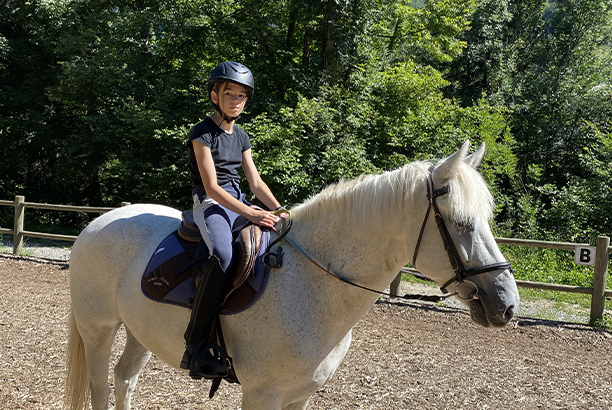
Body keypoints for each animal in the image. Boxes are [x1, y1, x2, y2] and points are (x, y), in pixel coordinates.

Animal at [64, 139, 520, 408]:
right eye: (461, 223)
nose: (508, 304)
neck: (312, 284)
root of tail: (97, 222)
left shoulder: (299, 394)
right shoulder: (261, 393)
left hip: (141, 331)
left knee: (124, 380)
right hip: (98, 328)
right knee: (101, 385)